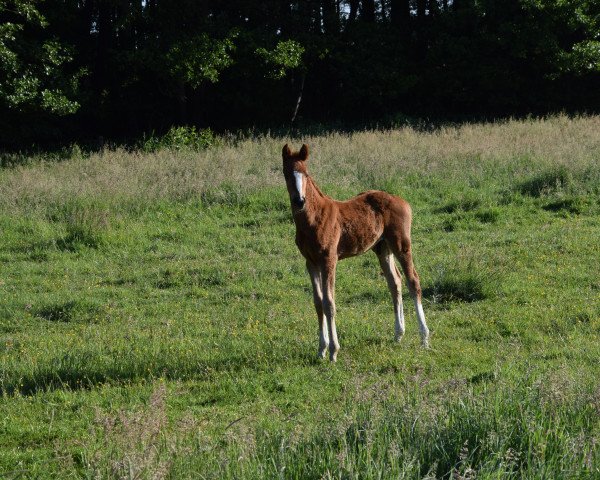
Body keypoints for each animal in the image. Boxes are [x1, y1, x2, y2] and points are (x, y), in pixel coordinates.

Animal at [284, 142, 428, 360]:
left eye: (306, 173)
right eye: (286, 173)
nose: (299, 201)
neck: (313, 219)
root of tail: (402, 200)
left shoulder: (329, 260)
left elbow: (329, 303)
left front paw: (333, 351)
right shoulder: (310, 262)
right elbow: (318, 303)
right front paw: (321, 349)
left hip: (401, 244)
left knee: (413, 282)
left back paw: (424, 338)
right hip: (382, 248)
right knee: (395, 282)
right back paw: (398, 334)